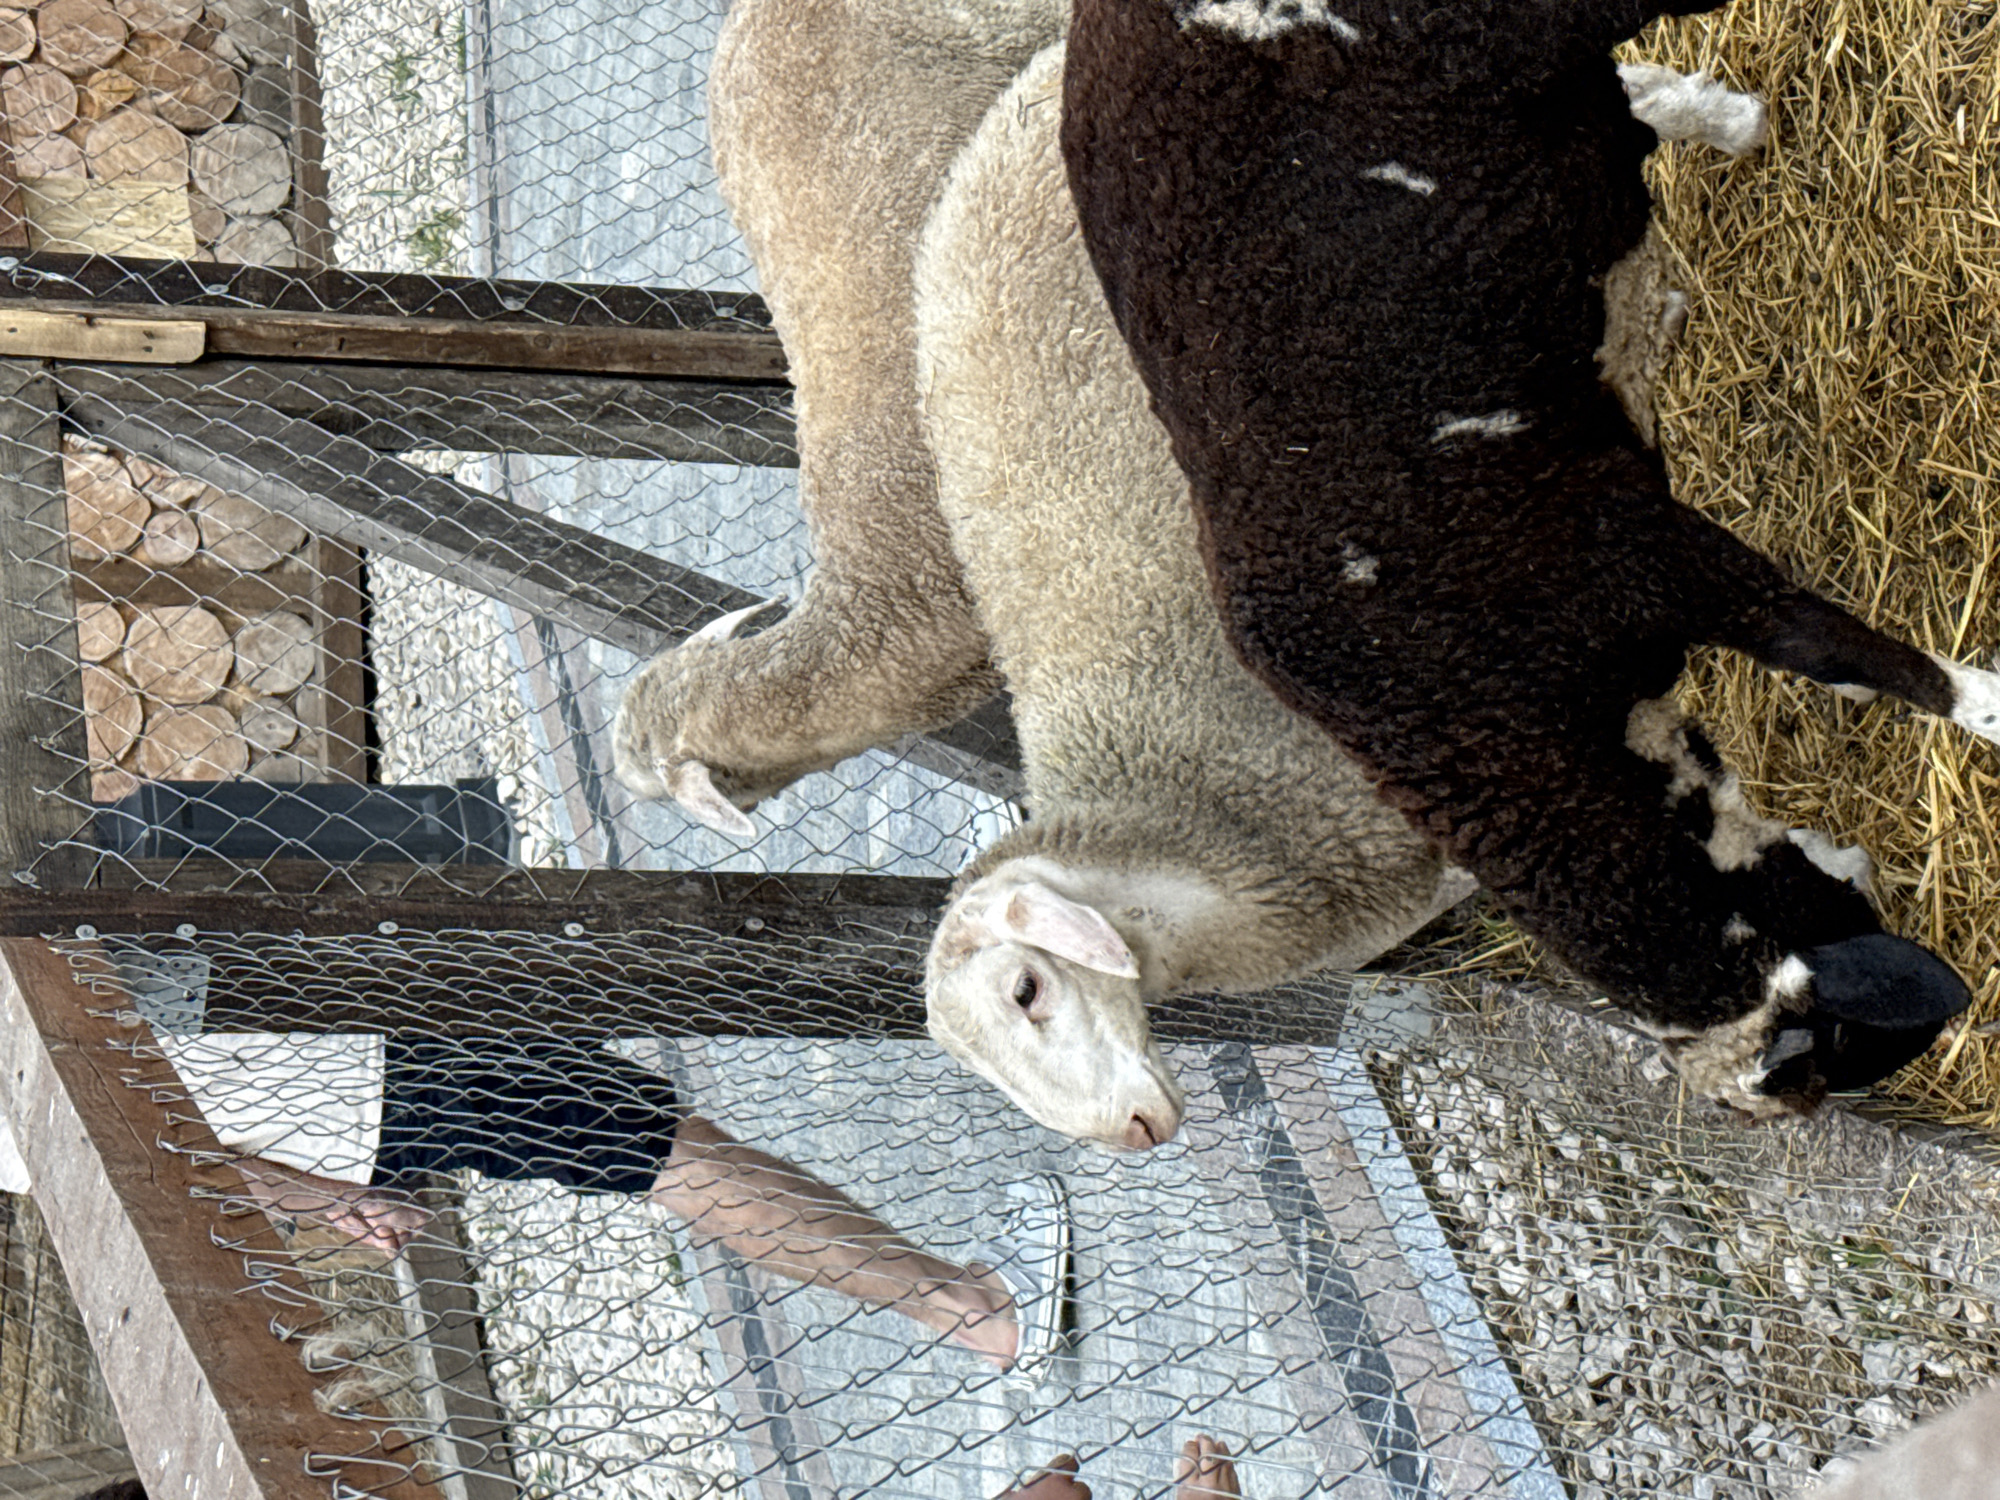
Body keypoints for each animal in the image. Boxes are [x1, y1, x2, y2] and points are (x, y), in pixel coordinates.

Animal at [1060, 0, 1981, 1117]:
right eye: (1852, 1062)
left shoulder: (1631, 549)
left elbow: (1838, 649)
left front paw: (1989, 703)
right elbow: (1837, 663)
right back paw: (1721, 128)